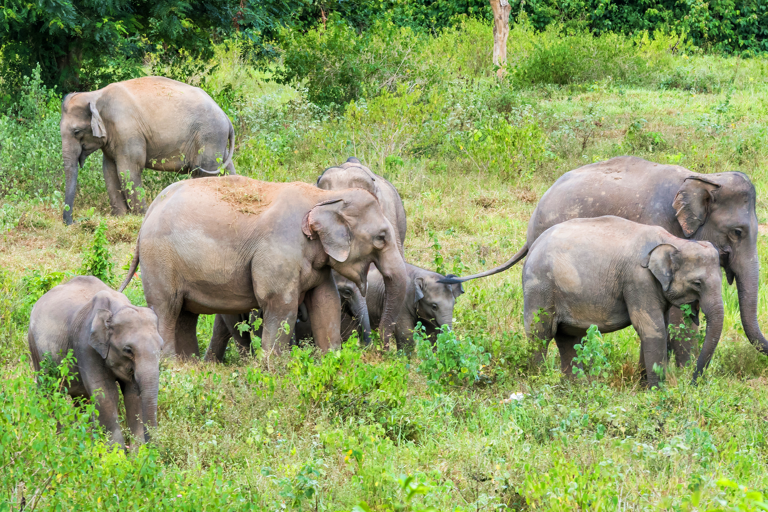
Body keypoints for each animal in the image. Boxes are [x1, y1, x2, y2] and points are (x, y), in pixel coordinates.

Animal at [28, 276, 163, 448]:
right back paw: (57, 439)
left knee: (80, 399)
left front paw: (138, 452)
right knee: (48, 392)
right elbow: (105, 393)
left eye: (161, 348)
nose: (154, 448)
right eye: (128, 350)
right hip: (35, 348)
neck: (116, 309)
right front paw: (117, 453)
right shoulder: (85, 344)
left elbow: (132, 394)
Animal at [60, 76, 236, 225]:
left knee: (204, 171)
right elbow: (109, 171)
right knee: (225, 167)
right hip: (216, 141)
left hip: (209, 136)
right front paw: (120, 217)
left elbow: (128, 169)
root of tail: (227, 118)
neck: (95, 95)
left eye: (76, 131)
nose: (74, 222)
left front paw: (140, 217)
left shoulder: (126, 130)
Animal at [119, 175, 407, 358]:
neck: (325, 197)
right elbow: (281, 304)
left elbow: (326, 302)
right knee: (166, 307)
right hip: (160, 259)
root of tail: (150, 210)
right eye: (381, 237)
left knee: (185, 315)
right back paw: (170, 364)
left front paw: (332, 361)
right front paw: (273, 368)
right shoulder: (278, 252)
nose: (383, 351)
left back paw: (189, 364)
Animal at [523, 216, 724, 388]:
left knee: (567, 338)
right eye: (697, 283)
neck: (673, 241)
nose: (692, 383)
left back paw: (576, 386)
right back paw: (539, 379)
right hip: (540, 288)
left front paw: (643, 386)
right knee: (540, 334)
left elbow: (659, 327)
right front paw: (657, 391)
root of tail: (533, 246)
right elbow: (652, 327)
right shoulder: (638, 280)